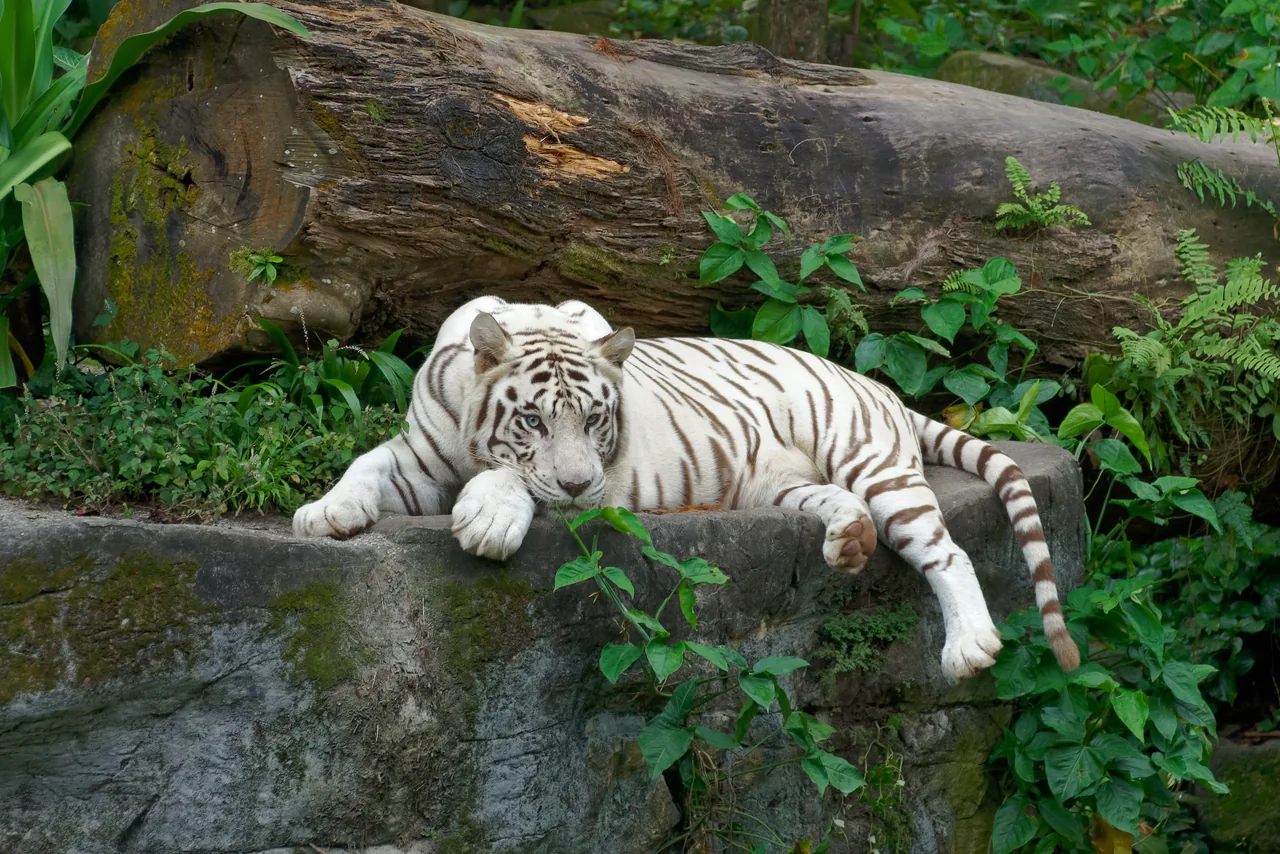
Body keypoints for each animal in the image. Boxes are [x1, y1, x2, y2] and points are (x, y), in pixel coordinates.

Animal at [293, 296, 1081, 682]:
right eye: (532, 419)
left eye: (595, 419)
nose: (578, 478)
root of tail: (879, 386)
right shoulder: (420, 456)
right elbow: (368, 464)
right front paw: (325, 512)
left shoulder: (605, 486)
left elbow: (516, 478)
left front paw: (486, 516)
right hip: (780, 484)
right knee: (845, 510)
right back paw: (849, 544)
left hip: (870, 460)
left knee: (948, 552)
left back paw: (970, 646)